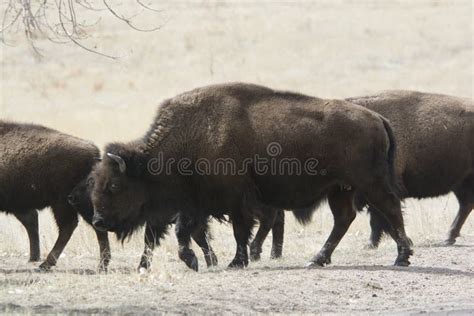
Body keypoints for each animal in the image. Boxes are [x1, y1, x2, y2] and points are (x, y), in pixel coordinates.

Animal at [90, 82, 414, 270]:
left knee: (390, 209)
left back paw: (402, 257)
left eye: (115, 185)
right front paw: (196, 261)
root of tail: (377, 118)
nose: (99, 220)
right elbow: (187, 231)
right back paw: (317, 259)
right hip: (340, 189)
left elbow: (237, 231)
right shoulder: (197, 202)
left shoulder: (235, 200)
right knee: (344, 219)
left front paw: (235, 262)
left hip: (369, 183)